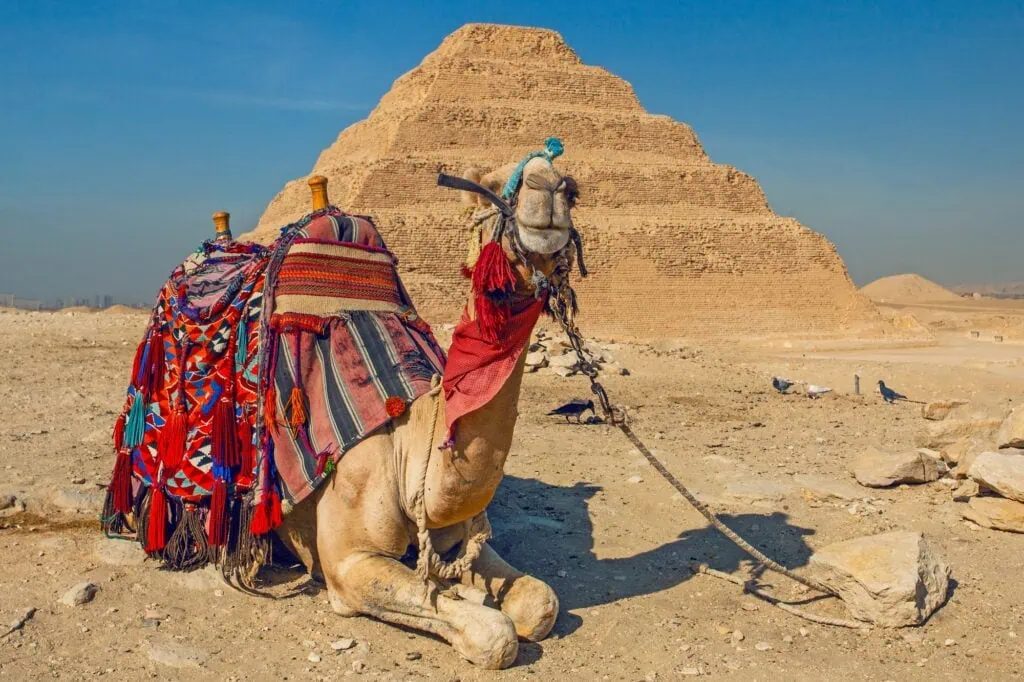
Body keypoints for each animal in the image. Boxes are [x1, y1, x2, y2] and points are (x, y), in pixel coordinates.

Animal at [275, 146, 580, 669]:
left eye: (574, 190)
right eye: (493, 186)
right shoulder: (348, 565)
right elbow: (495, 634)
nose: (550, 186)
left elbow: (542, 603)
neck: (408, 445)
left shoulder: (461, 537)